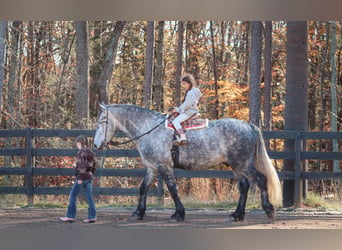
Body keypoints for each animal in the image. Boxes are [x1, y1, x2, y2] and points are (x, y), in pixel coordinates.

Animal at [94, 104, 284, 222]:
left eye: (102, 121)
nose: (96, 145)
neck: (149, 129)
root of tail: (248, 126)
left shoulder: (164, 166)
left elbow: (172, 189)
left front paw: (179, 214)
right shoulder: (152, 167)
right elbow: (143, 188)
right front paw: (138, 213)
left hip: (243, 164)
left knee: (260, 180)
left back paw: (269, 210)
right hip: (237, 166)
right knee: (244, 186)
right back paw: (237, 215)